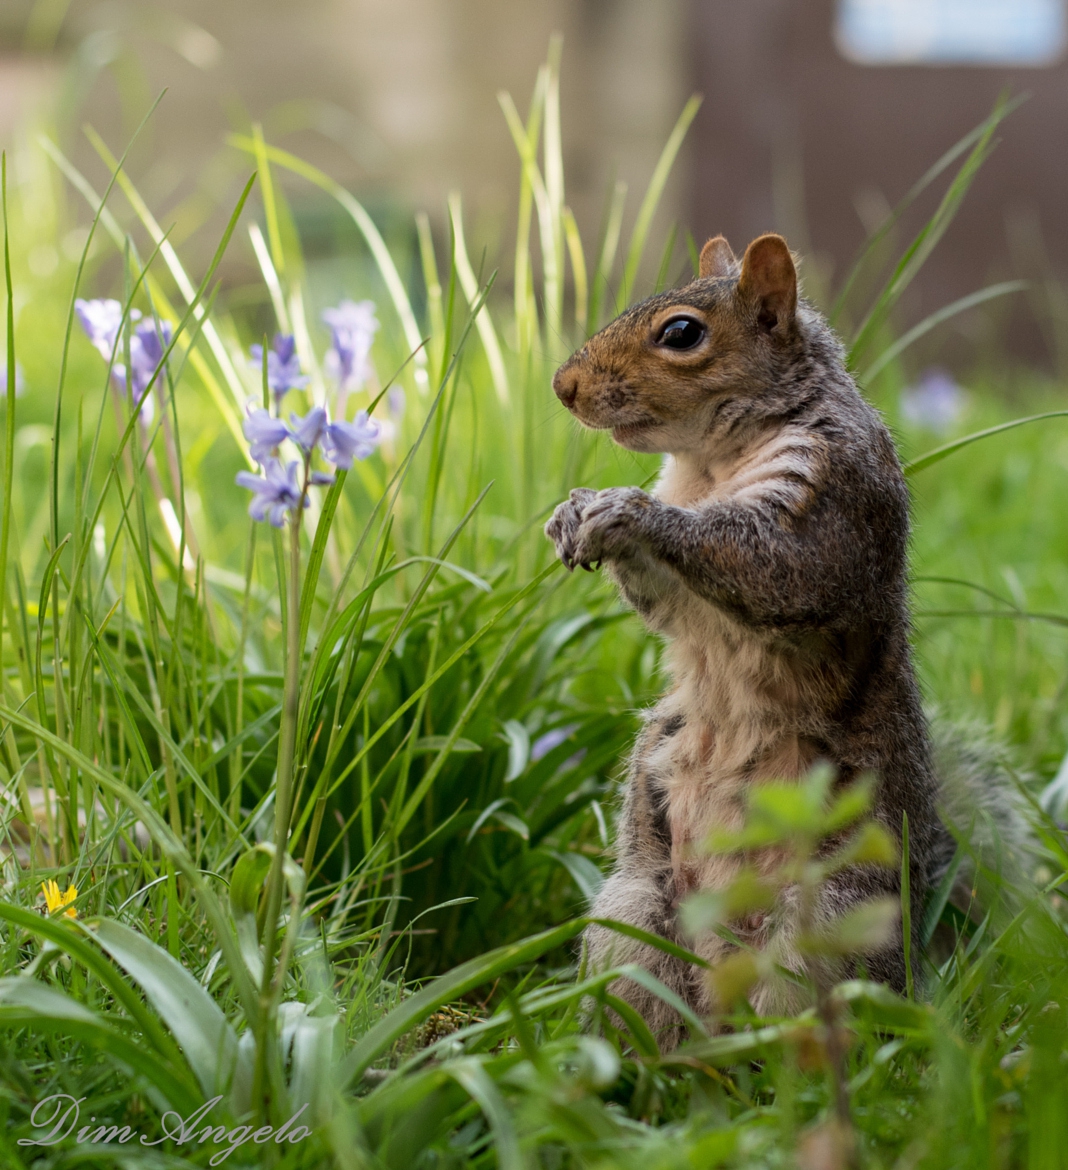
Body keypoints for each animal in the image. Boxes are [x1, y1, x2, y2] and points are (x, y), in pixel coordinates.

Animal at [542, 232, 1034, 1038]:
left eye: (682, 333)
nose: (563, 386)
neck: (712, 461)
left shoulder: (836, 499)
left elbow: (775, 566)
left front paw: (631, 511)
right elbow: (667, 608)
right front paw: (573, 511)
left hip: (830, 922)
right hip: (634, 913)